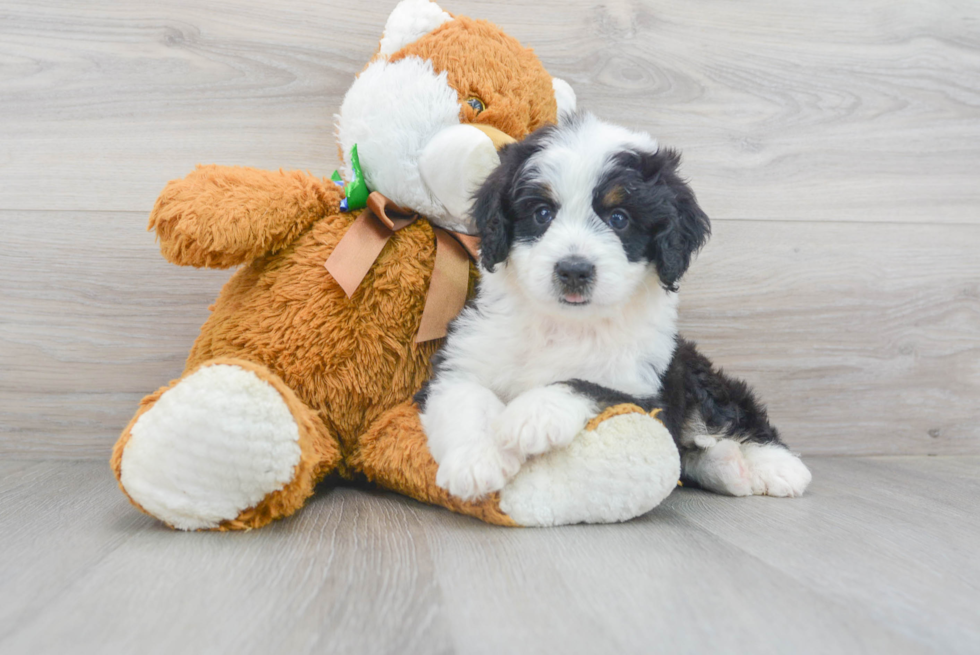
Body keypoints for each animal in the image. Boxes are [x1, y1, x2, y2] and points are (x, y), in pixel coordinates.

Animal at [420, 114, 812, 502]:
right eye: (542, 213)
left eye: (619, 218)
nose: (573, 270)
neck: (563, 325)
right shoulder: (465, 356)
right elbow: (463, 397)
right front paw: (475, 461)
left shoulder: (644, 392)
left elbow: (590, 386)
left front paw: (533, 414)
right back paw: (729, 466)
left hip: (692, 371)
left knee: (729, 416)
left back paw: (777, 467)